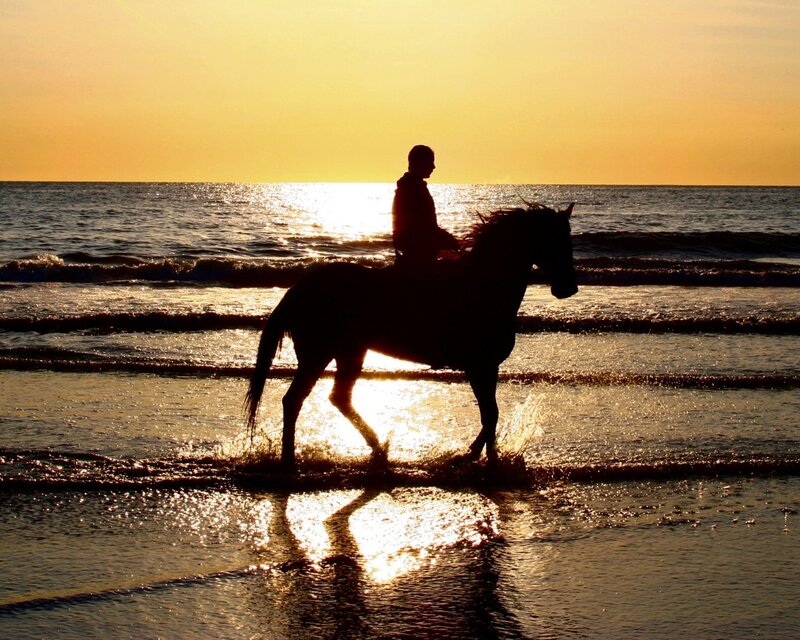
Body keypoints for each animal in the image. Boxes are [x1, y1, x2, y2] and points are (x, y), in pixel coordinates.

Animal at [245, 203, 578, 470]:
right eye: (557, 240)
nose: (568, 288)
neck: (484, 286)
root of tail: (301, 288)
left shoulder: (487, 367)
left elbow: (490, 414)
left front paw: (476, 456)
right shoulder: (479, 366)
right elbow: (490, 415)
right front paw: (482, 460)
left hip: (349, 352)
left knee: (338, 398)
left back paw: (377, 447)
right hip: (319, 353)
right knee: (295, 400)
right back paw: (290, 460)